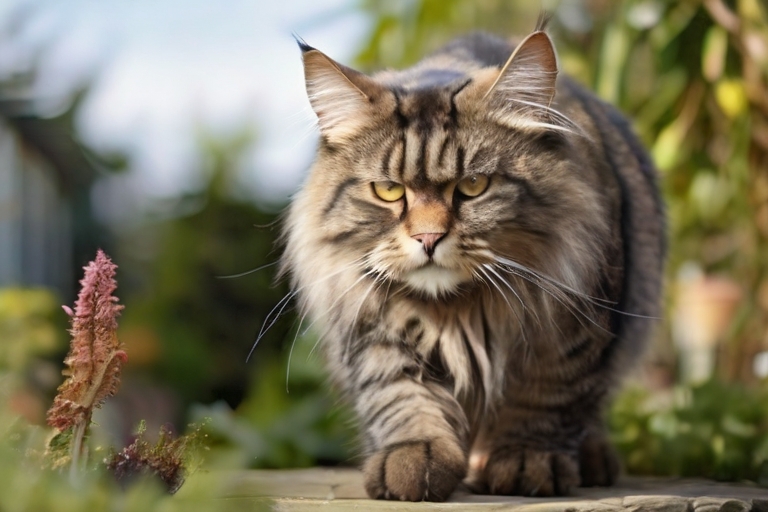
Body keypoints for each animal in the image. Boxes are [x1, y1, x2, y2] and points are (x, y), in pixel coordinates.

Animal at [280, 18, 664, 502]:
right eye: (388, 191)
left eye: (474, 186)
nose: (428, 237)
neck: (456, 309)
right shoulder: (371, 324)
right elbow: (401, 397)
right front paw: (414, 457)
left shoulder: (572, 321)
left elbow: (545, 397)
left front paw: (524, 460)